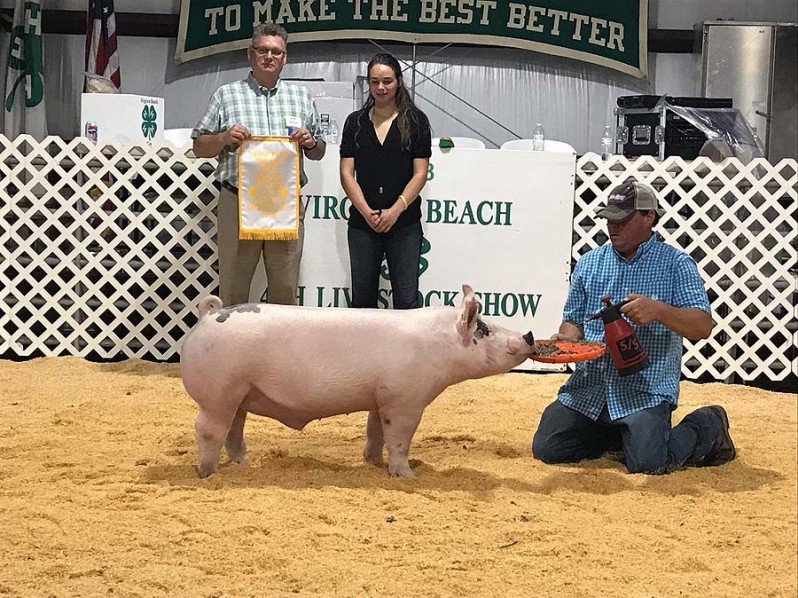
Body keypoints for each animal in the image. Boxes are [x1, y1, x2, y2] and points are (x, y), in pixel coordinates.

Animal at [178, 284, 536, 480]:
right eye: (484, 329)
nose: (529, 335)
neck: (439, 346)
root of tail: (208, 316)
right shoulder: (405, 399)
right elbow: (399, 438)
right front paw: (407, 474)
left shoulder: (381, 397)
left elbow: (375, 431)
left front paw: (373, 463)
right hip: (219, 391)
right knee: (207, 428)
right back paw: (208, 473)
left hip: (240, 393)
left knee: (233, 430)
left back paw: (245, 464)